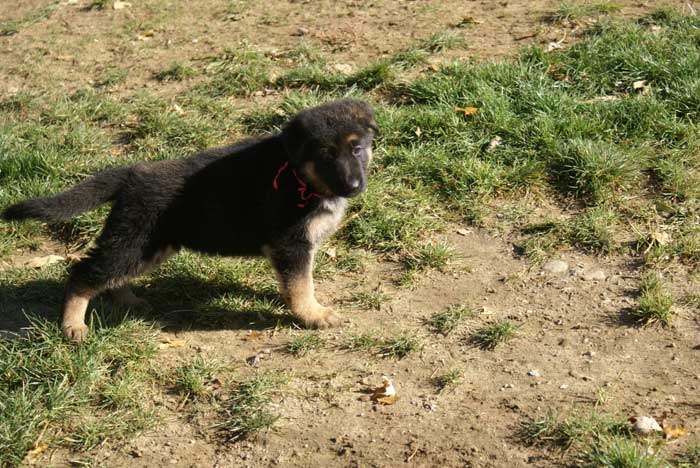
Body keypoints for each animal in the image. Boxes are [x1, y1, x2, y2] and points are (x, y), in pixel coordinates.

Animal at [1, 98, 378, 342]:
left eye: (357, 149)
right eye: (326, 155)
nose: (354, 186)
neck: (300, 175)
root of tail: (131, 174)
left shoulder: (294, 249)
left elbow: (296, 282)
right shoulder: (291, 244)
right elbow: (300, 285)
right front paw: (313, 315)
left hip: (147, 246)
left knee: (109, 274)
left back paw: (126, 300)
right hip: (134, 241)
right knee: (82, 273)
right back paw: (73, 325)